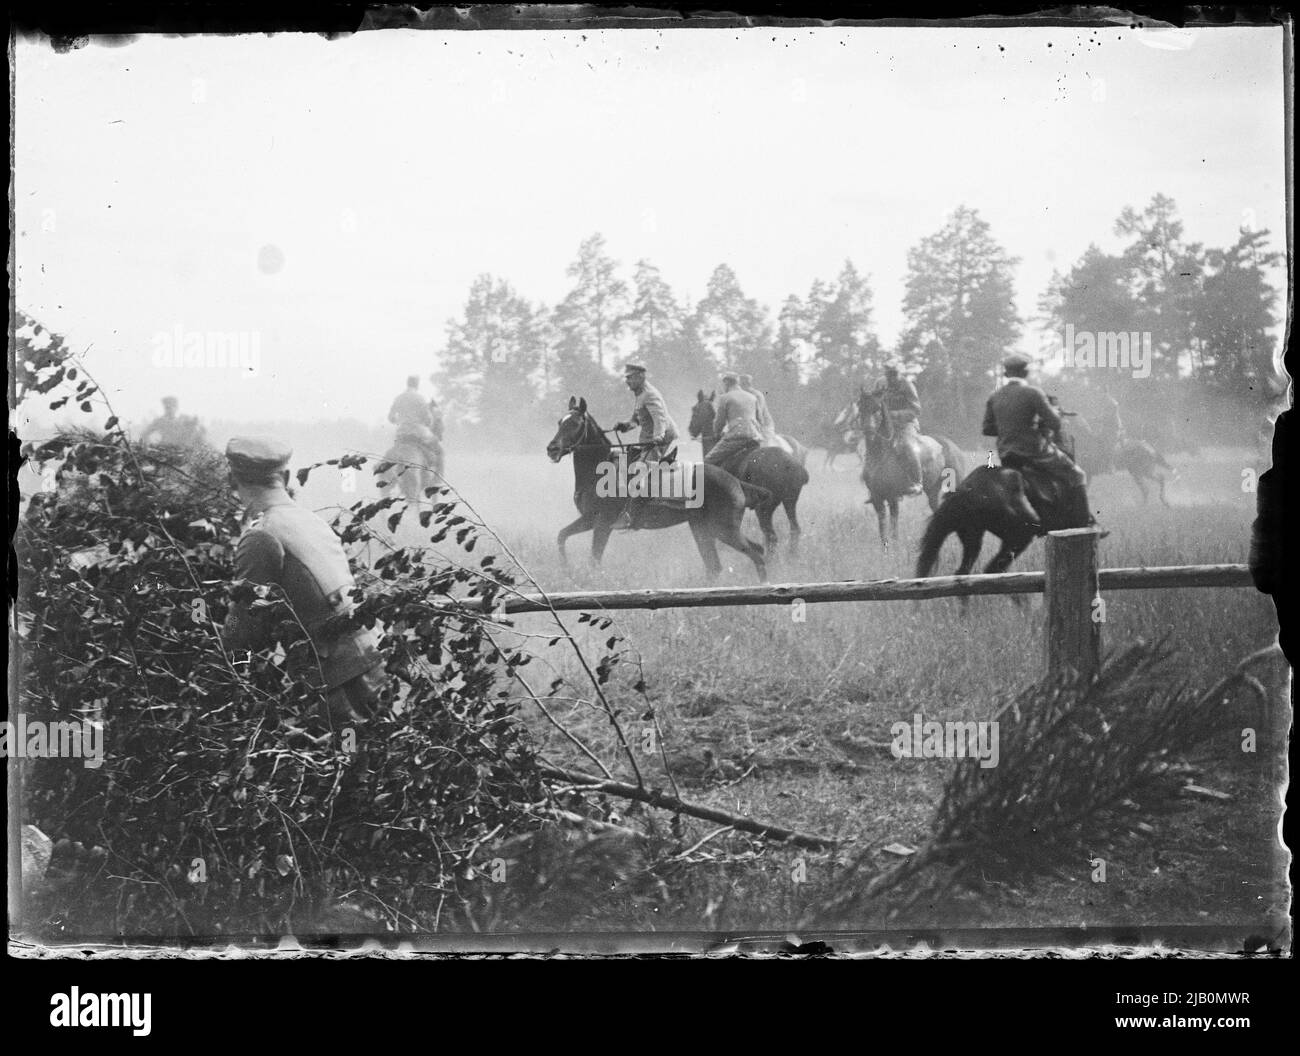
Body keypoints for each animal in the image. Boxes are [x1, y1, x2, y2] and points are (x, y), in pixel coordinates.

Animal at [543, 395, 764, 582]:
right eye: (559, 422)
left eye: (574, 423)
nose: (552, 448)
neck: (599, 472)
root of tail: (734, 481)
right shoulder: (589, 519)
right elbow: (562, 536)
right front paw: (566, 570)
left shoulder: (603, 523)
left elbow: (594, 559)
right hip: (702, 528)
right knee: (717, 565)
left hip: (723, 528)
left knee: (756, 555)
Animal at [686, 390, 806, 554]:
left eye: (695, 410)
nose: (690, 429)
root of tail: (791, 464)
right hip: (790, 502)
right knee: (794, 530)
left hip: (765, 509)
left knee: (771, 536)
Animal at [857, 390, 972, 554]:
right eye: (861, 407)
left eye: (877, 409)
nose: (868, 430)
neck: (880, 454)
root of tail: (953, 447)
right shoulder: (877, 498)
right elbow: (883, 525)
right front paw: (885, 550)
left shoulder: (892, 497)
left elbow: (894, 524)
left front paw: (895, 549)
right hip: (932, 492)